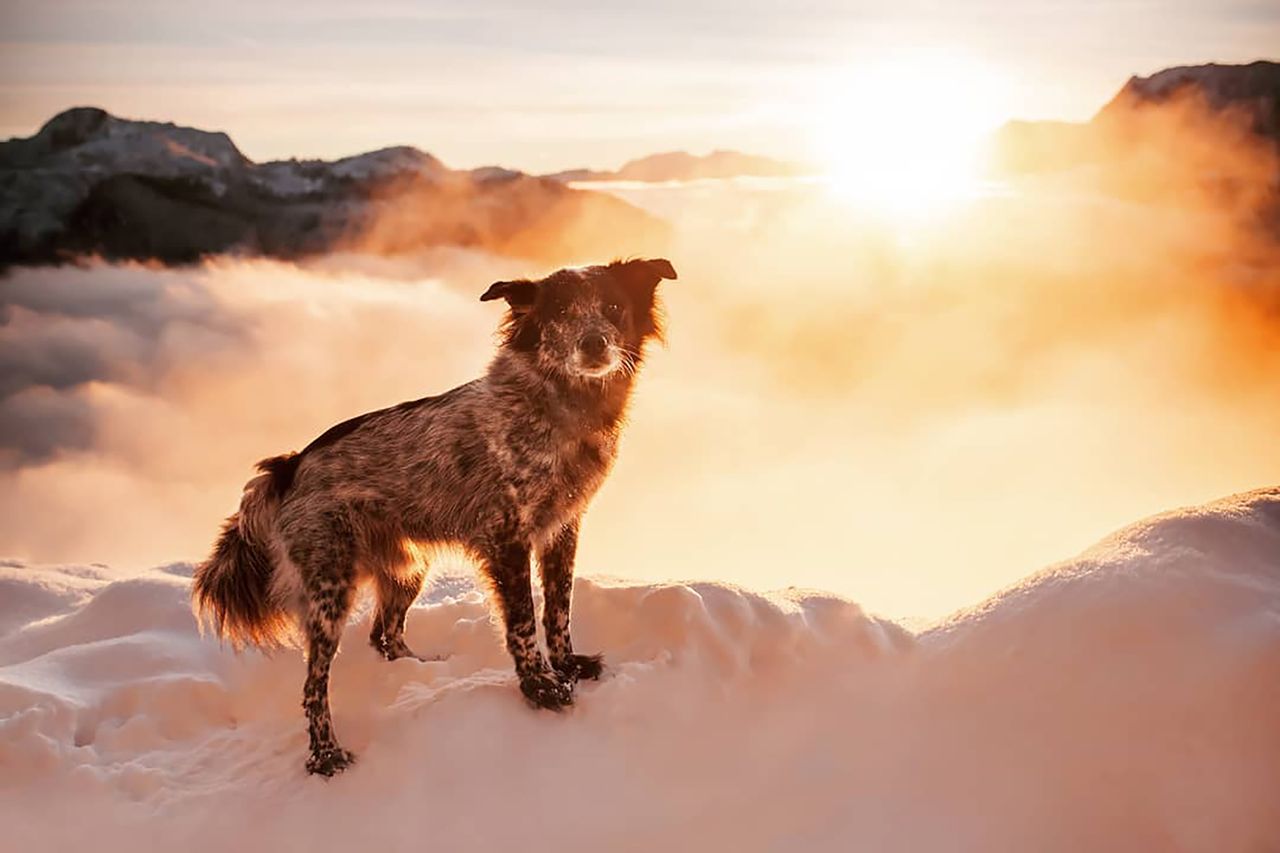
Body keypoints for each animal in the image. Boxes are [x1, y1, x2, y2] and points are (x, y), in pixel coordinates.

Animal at [190, 256, 680, 773]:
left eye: (613, 307)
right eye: (562, 310)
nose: (594, 343)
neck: (559, 407)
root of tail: (289, 466)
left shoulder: (562, 529)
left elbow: (558, 610)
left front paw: (567, 667)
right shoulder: (506, 536)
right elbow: (524, 622)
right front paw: (541, 687)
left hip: (408, 570)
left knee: (385, 635)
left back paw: (419, 671)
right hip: (330, 587)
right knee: (314, 684)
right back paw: (325, 755)